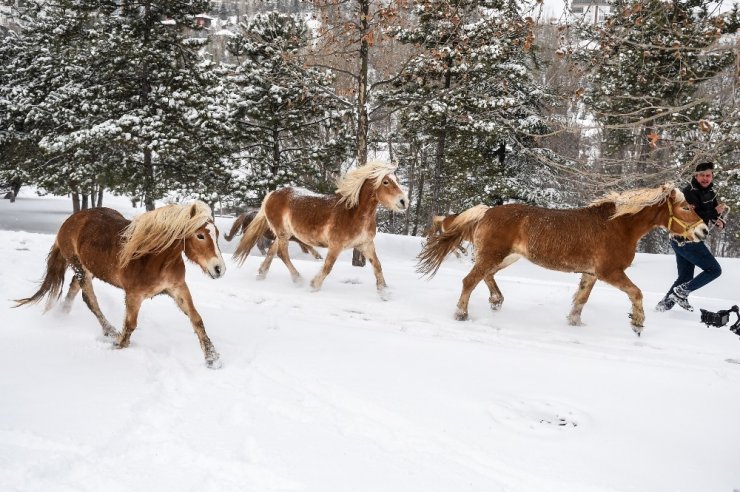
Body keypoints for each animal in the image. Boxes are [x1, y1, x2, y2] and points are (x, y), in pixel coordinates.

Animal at [14, 202, 225, 368]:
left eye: (217, 234)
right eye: (200, 235)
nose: (219, 269)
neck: (154, 257)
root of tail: (70, 220)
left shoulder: (178, 289)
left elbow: (196, 319)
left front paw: (212, 358)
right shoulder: (133, 295)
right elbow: (130, 325)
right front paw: (120, 348)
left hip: (88, 269)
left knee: (74, 288)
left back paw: (63, 314)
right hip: (80, 268)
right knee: (90, 299)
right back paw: (111, 332)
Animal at [233, 160, 410, 296]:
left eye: (397, 180)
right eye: (385, 182)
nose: (404, 202)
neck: (353, 213)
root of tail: (272, 194)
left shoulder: (365, 244)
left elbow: (378, 266)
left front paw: (384, 292)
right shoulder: (336, 246)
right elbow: (327, 267)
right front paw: (314, 285)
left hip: (283, 234)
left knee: (272, 251)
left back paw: (261, 274)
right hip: (283, 233)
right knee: (282, 254)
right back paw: (298, 279)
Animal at [420, 184, 708, 334]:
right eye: (686, 207)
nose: (704, 231)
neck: (617, 225)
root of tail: (487, 211)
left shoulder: (591, 274)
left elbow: (581, 300)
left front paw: (575, 322)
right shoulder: (609, 272)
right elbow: (636, 293)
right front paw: (637, 323)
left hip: (505, 257)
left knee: (485, 276)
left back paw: (496, 300)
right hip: (494, 255)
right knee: (469, 280)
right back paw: (461, 314)